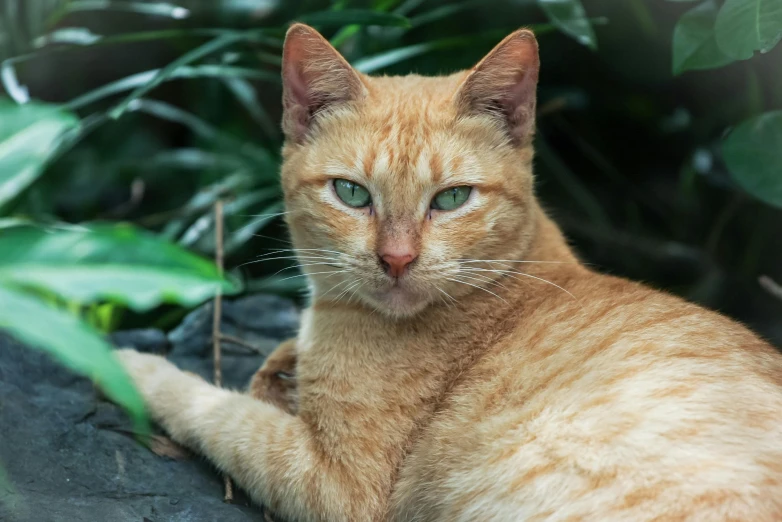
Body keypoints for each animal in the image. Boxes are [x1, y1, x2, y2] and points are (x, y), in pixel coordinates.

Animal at [115, 24, 782, 520]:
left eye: (453, 198)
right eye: (352, 194)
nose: (397, 258)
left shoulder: (336, 485)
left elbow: (214, 409)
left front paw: (129, 367)